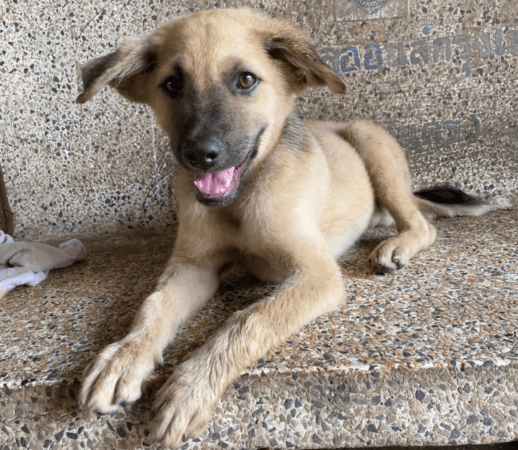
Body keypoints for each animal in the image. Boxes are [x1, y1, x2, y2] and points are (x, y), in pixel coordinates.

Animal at [77, 7, 492, 446]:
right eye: (171, 84)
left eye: (245, 80)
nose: (200, 154)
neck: (240, 199)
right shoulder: (193, 266)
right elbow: (155, 305)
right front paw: (124, 357)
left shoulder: (318, 274)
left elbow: (249, 320)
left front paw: (193, 386)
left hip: (369, 140)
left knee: (422, 224)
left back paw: (396, 246)